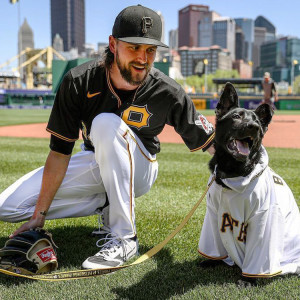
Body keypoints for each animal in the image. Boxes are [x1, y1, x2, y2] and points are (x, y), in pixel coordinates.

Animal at [198, 82, 300, 286]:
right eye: (236, 116)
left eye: (258, 124)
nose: (254, 127)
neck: (232, 173)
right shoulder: (212, 213)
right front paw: (211, 260)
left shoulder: (264, 217)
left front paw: (248, 280)